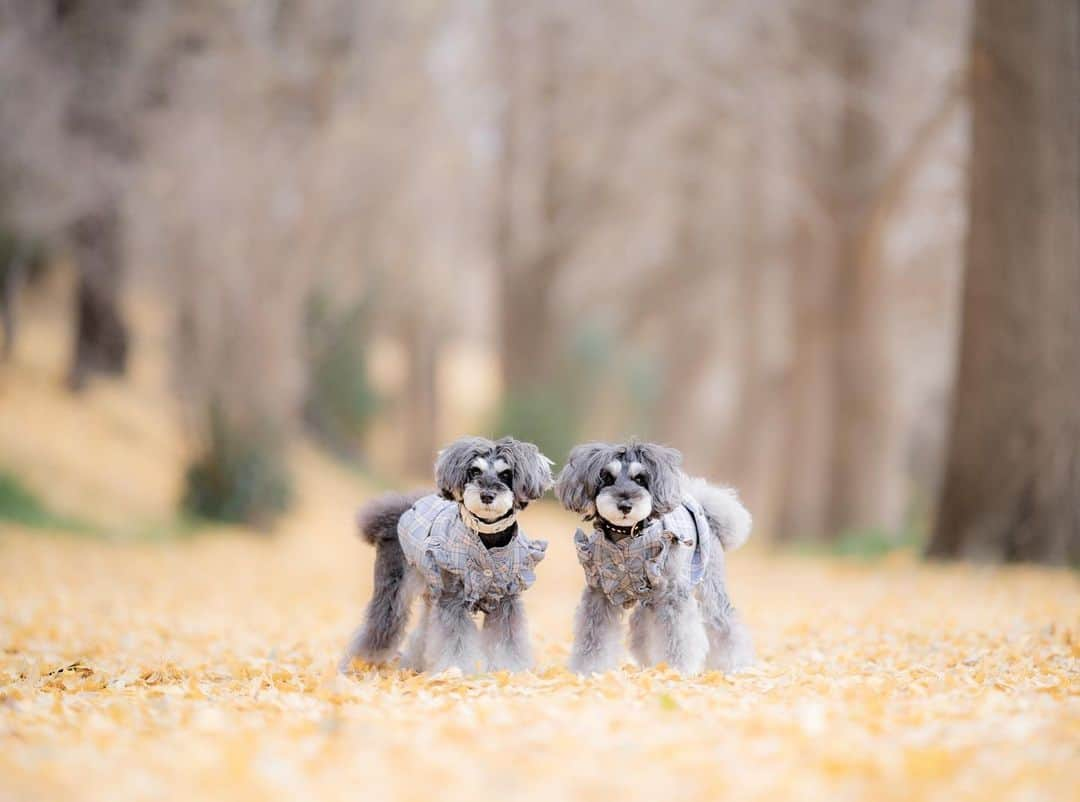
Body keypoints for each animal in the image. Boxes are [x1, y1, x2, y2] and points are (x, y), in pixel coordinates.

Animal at [341, 436, 552, 673]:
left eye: (506, 474)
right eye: (475, 471)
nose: (487, 495)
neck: (488, 537)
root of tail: (400, 512)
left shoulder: (507, 599)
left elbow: (508, 639)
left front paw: (510, 669)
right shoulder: (453, 597)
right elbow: (455, 639)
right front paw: (455, 670)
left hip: (432, 589)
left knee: (424, 630)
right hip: (393, 590)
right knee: (379, 626)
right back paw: (356, 664)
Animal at [557, 442, 751, 673]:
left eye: (640, 478)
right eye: (607, 478)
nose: (625, 506)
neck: (627, 536)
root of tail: (705, 509)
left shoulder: (672, 595)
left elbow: (678, 636)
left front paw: (677, 670)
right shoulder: (599, 593)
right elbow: (593, 637)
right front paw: (588, 670)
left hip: (709, 588)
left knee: (724, 624)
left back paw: (735, 665)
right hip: (649, 599)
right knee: (644, 627)